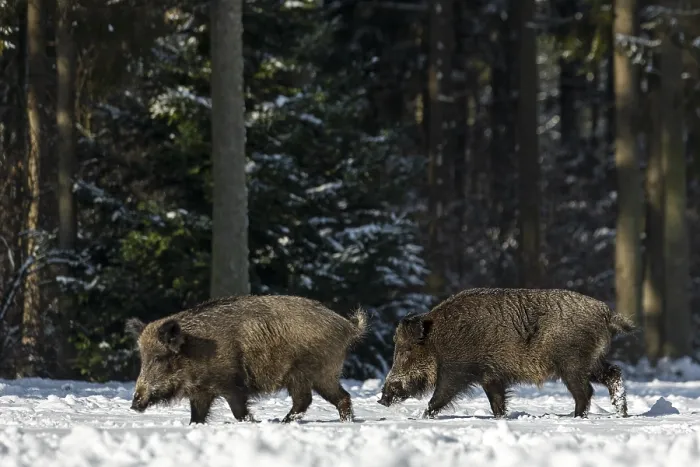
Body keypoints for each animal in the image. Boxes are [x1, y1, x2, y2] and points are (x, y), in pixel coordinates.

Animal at [125, 294, 367, 424]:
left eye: (159, 357)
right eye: (142, 358)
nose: (134, 404)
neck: (195, 349)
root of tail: (348, 326)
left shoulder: (232, 384)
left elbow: (238, 410)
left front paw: (252, 422)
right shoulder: (201, 391)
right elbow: (197, 415)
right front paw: (194, 426)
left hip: (309, 373)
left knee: (310, 399)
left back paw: (284, 422)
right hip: (319, 376)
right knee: (336, 398)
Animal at [378, 288, 635, 419]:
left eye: (406, 351)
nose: (382, 399)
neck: (438, 341)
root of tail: (607, 314)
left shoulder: (456, 371)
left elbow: (440, 395)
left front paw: (423, 416)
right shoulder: (490, 376)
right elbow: (497, 400)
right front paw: (500, 419)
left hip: (572, 363)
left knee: (585, 391)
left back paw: (576, 417)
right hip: (592, 362)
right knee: (614, 374)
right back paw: (621, 414)